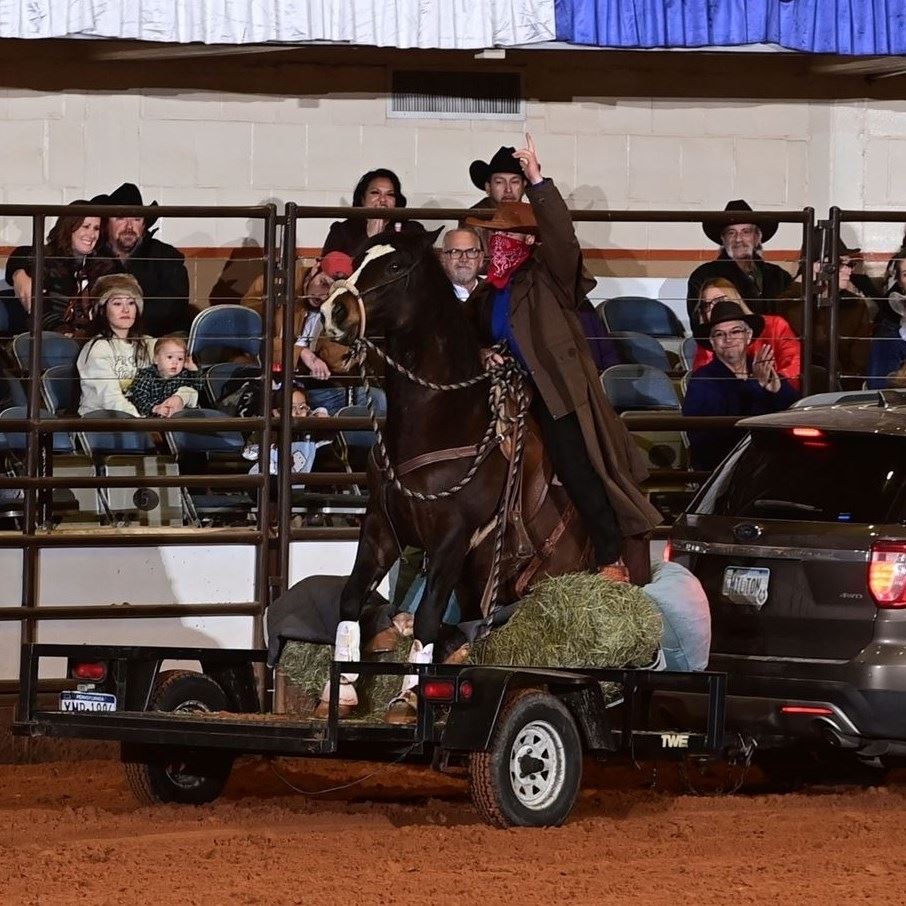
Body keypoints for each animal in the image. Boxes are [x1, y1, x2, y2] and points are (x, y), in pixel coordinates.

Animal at [318, 228, 592, 720]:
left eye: (395, 266)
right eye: (356, 258)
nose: (334, 311)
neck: (437, 422)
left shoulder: (452, 536)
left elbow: (428, 615)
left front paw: (408, 695)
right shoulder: (381, 526)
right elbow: (351, 596)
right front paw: (343, 688)